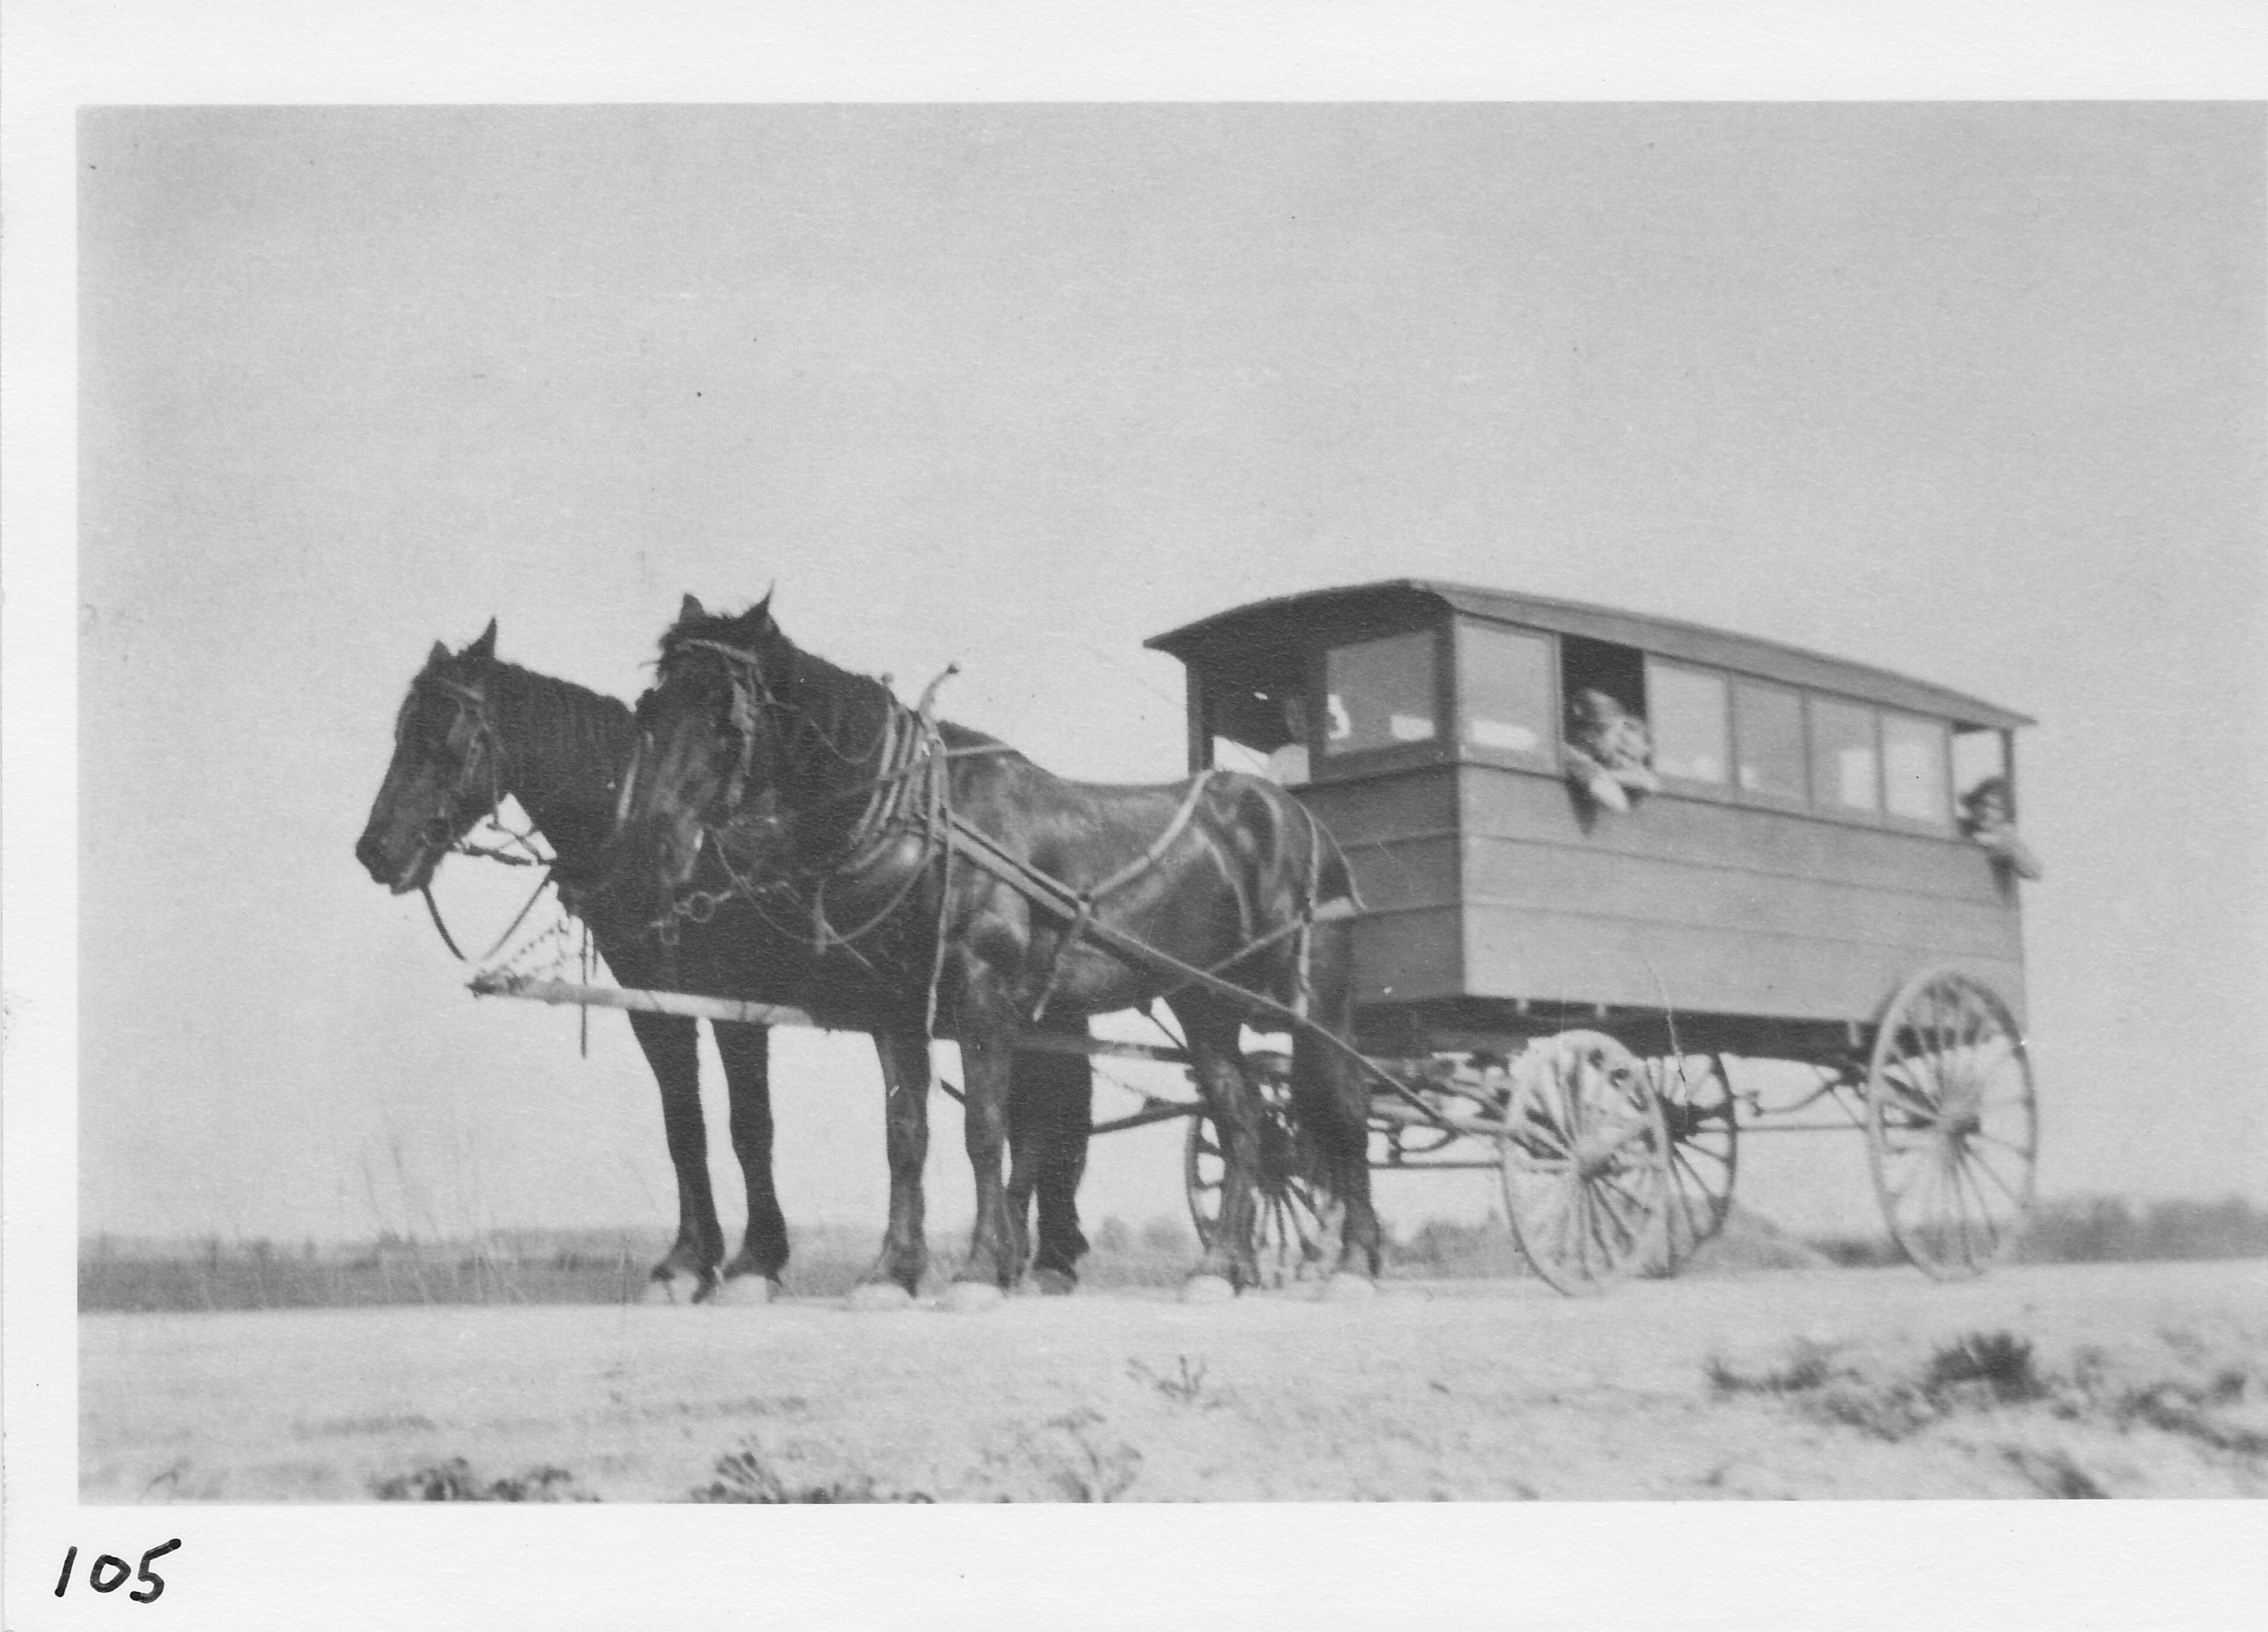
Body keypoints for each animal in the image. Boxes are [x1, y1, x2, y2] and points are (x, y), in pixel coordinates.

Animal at [354, 617, 1098, 1307]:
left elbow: (748, 1126)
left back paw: (1037, 1259)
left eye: (445, 739)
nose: (376, 850)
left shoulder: (736, 1001)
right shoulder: (655, 1003)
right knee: (1045, 1110)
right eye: (401, 731)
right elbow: (684, 1126)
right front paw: (685, 1262)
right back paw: (1038, 1256)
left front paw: (753, 1260)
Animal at [603, 590, 1379, 1298]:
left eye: (721, 710)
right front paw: (892, 1271)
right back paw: (1224, 1266)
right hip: (1204, 1002)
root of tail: (1293, 813)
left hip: (1317, 998)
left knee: (1343, 1104)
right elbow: (906, 1133)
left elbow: (985, 1127)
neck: (920, 816)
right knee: (1242, 1116)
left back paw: (1351, 1261)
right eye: (652, 705)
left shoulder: (983, 994)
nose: (651, 843)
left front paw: (977, 1270)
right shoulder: (894, 1008)